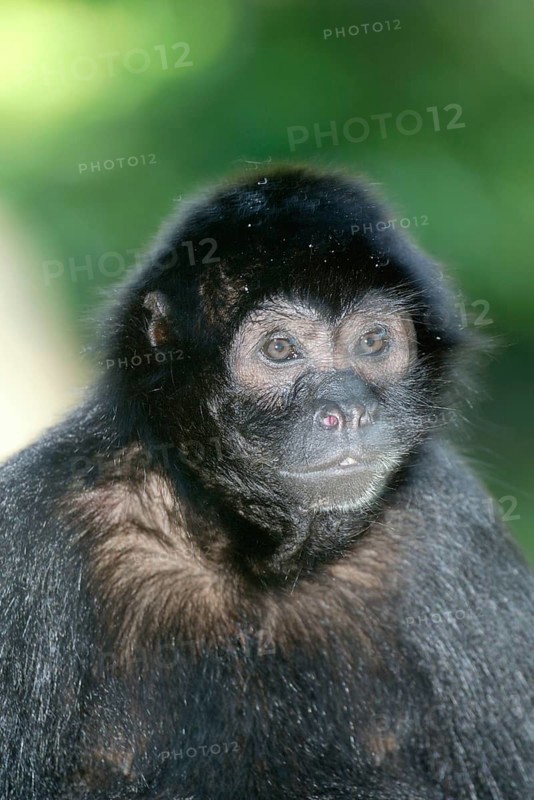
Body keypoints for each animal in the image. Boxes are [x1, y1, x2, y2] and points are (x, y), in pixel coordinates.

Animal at [0, 165, 532, 800]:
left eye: (374, 342)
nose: (348, 409)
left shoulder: (454, 525)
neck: (247, 565)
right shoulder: (30, 537)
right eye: (280, 348)